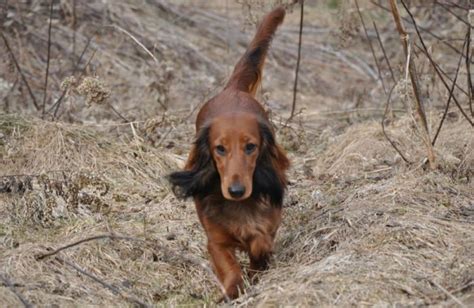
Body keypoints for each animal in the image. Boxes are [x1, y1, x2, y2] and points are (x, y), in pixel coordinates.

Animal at [170, 6, 288, 300]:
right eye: (219, 149)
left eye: (251, 147)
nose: (235, 191)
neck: (240, 206)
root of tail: (232, 90)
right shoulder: (216, 240)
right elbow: (229, 267)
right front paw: (233, 290)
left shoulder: (269, 226)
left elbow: (260, 243)